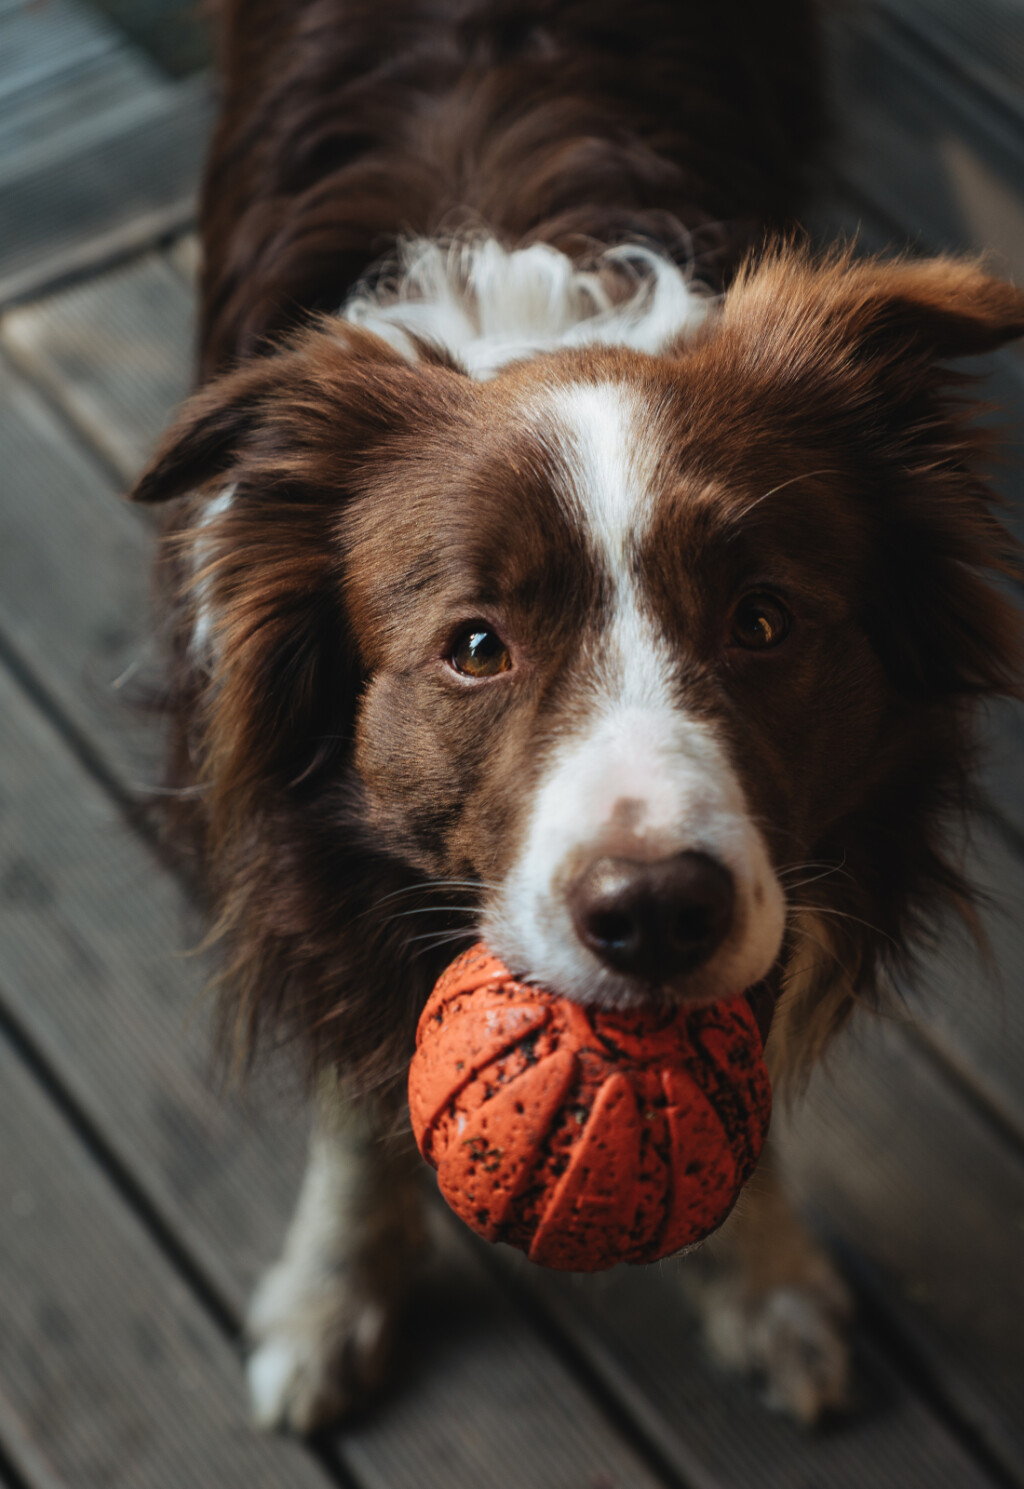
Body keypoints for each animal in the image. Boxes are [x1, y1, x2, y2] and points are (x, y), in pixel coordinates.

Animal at [131, 0, 1024, 1429]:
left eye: (761, 621)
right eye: (474, 648)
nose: (656, 913)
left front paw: (765, 1277)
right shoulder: (295, 842)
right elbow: (352, 1083)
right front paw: (329, 1293)